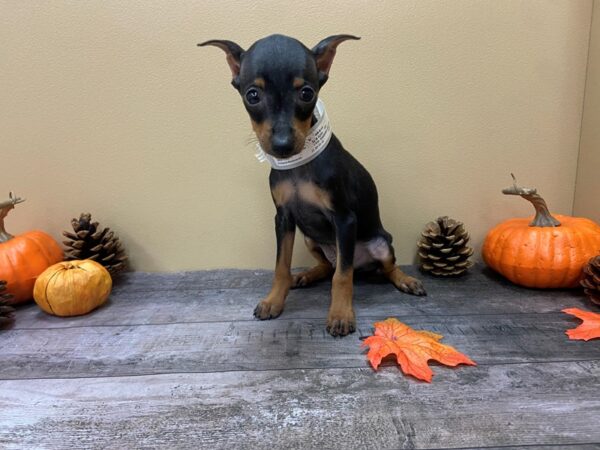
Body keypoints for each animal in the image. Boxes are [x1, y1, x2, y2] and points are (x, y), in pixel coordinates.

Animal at [199, 35, 424, 336]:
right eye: (252, 95)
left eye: (306, 93)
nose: (282, 145)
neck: (299, 166)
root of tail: (363, 265)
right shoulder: (284, 218)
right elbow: (281, 266)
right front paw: (274, 300)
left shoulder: (344, 219)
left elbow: (343, 277)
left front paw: (340, 314)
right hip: (311, 238)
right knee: (328, 266)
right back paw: (306, 275)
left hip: (379, 244)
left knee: (376, 267)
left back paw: (405, 280)